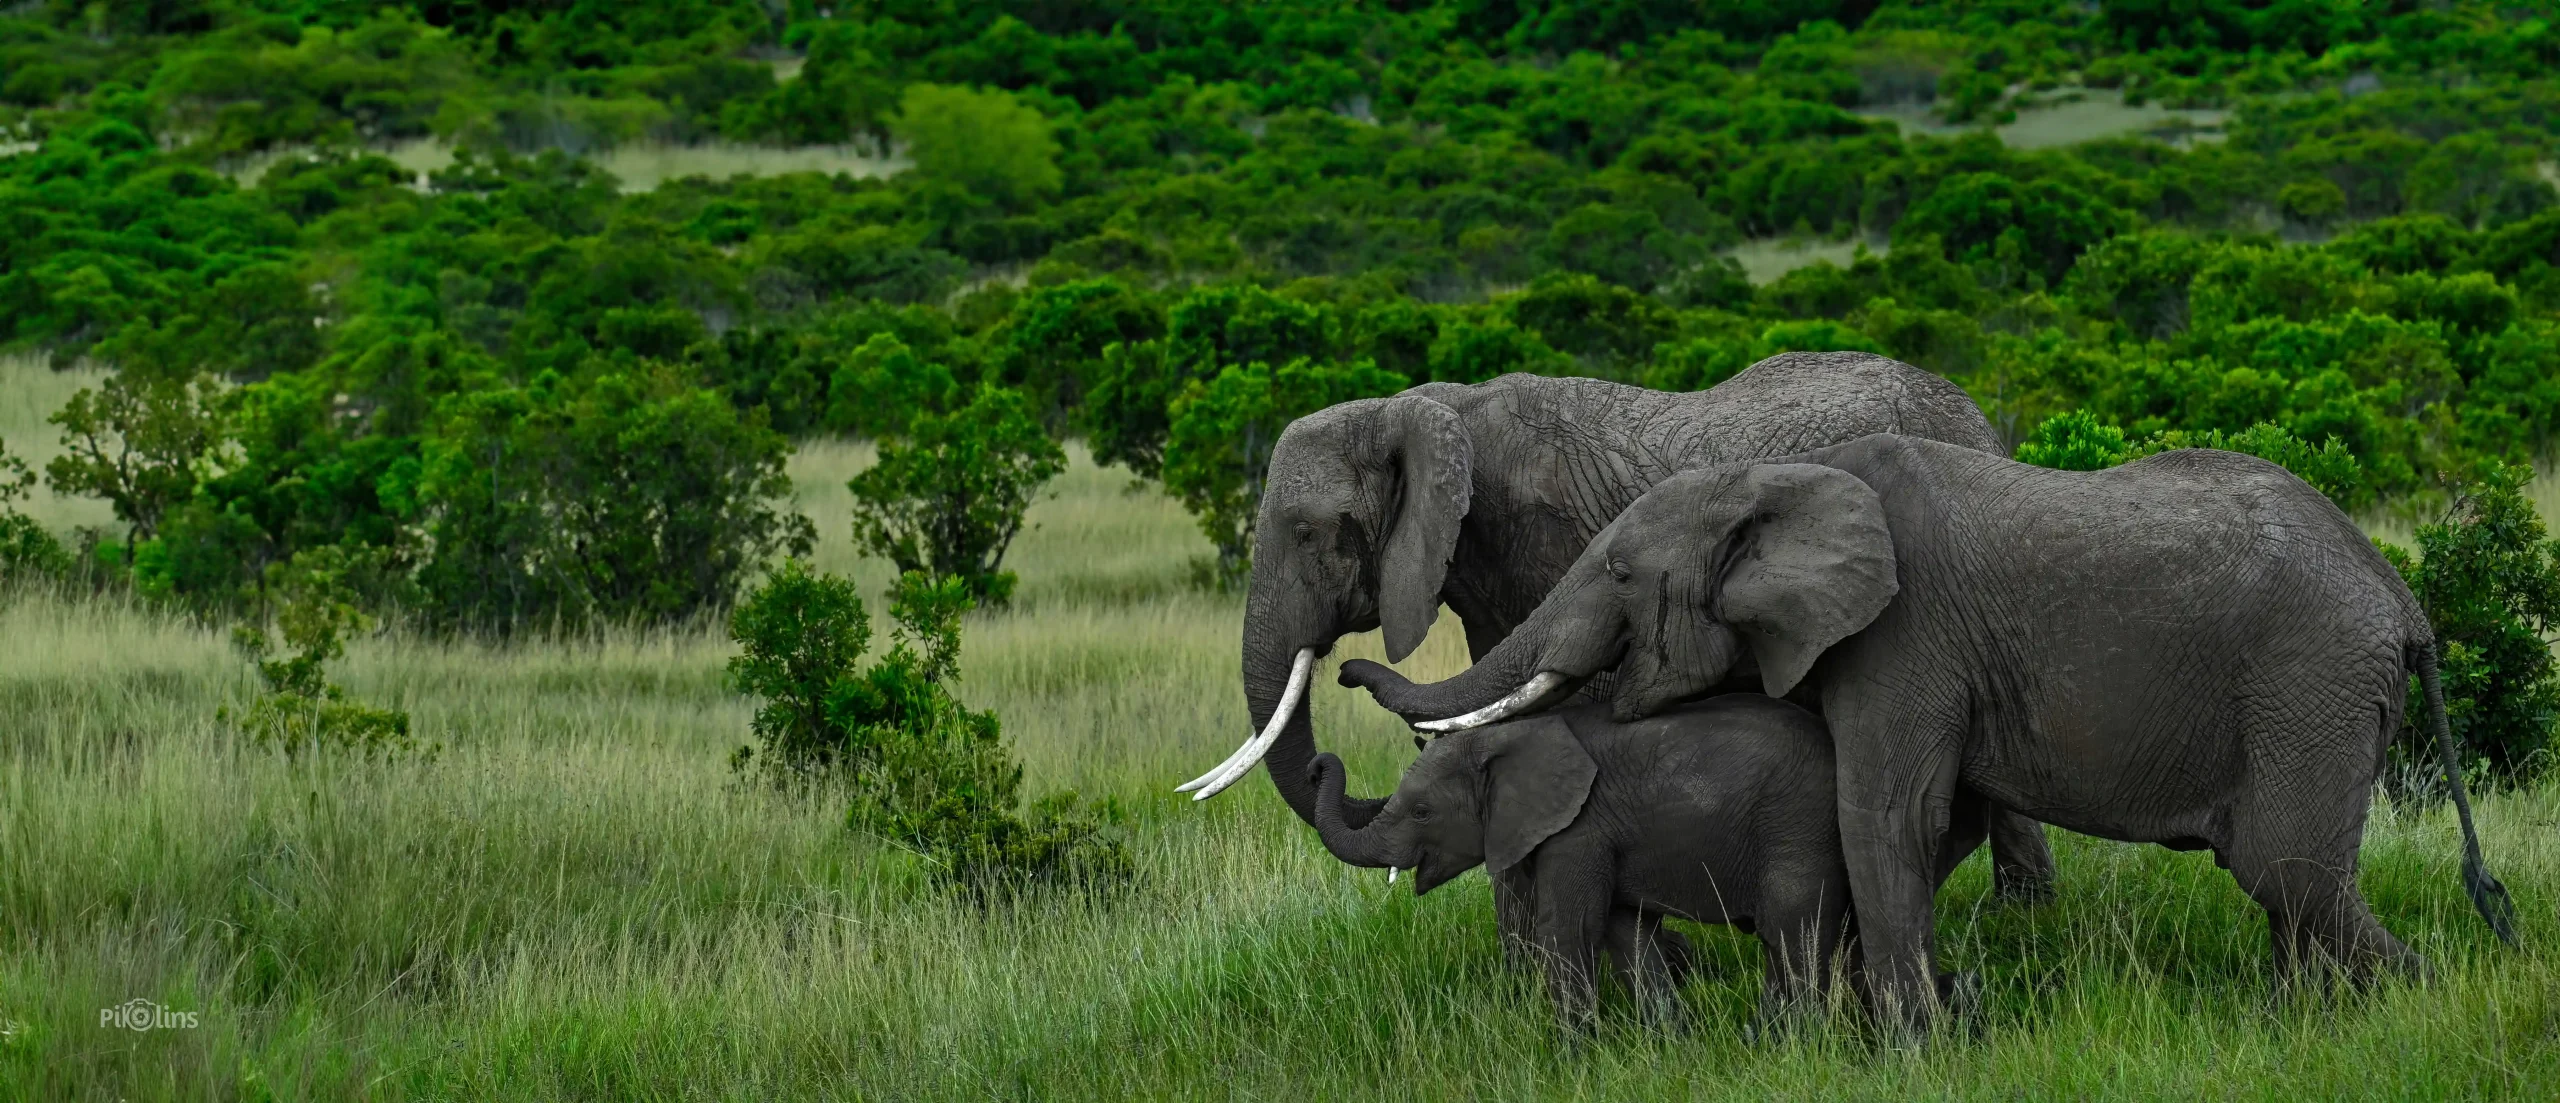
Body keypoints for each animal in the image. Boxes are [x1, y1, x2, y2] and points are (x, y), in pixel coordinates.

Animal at [1180, 354, 2063, 915]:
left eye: (1306, 532)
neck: (1429, 407)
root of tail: (1979, 413)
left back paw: (2022, 917)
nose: (1343, 674)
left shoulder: (1549, 537)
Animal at [1305, 694, 1855, 1033]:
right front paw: (1670, 1044)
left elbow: (1570, 929)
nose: (1317, 764)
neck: (1503, 738)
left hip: (1797, 823)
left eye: (1422, 812)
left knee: (1791, 927)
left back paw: (1774, 1042)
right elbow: (1626, 932)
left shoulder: (1578, 830)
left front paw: (1572, 1058)